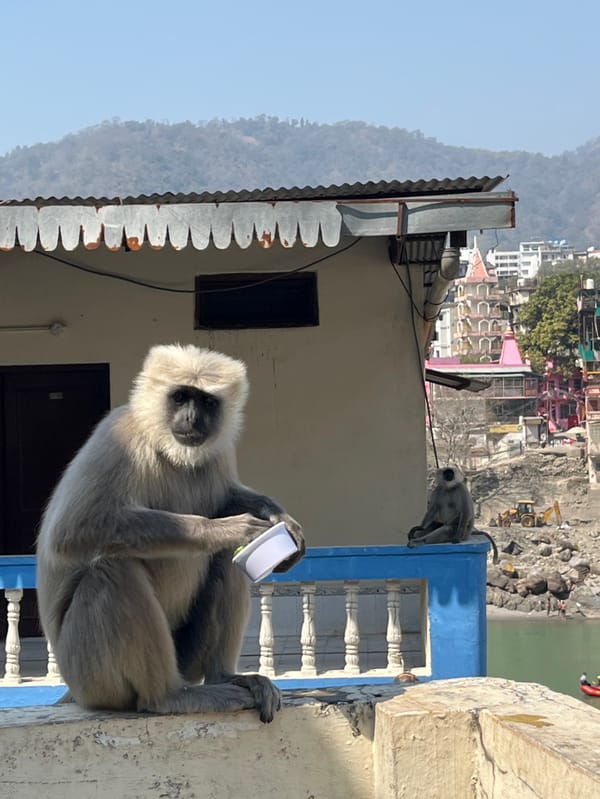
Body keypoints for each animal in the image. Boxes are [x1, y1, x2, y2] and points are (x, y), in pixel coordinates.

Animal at [36, 344, 305, 723]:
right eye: (180, 397)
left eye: (206, 402)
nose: (191, 419)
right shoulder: (119, 435)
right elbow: (73, 529)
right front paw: (227, 530)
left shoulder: (218, 450)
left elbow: (226, 496)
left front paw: (280, 518)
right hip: (91, 676)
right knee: (112, 569)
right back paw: (167, 697)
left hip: (184, 659)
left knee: (225, 561)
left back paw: (225, 677)